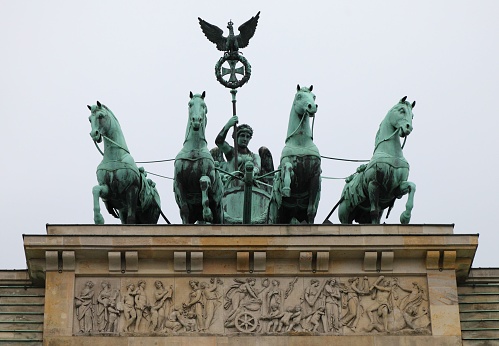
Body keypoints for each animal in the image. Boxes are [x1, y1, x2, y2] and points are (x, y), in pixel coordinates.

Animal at [175, 91, 224, 224]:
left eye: (204, 105)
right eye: (190, 104)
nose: (196, 120)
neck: (194, 149)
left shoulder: (209, 176)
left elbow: (203, 182)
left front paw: (207, 213)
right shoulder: (179, 183)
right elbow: (184, 210)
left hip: (218, 209)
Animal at [272, 85, 322, 223]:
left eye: (314, 96)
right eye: (299, 96)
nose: (312, 106)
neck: (300, 142)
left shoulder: (315, 175)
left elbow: (311, 211)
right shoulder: (289, 169)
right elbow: (288, 168)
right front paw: (286, 188)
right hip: (278, 211)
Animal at [340, 96, 418, 224]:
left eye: (412, 116)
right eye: (401, 110)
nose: (409, 128)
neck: (391, 154)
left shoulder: (396, 188)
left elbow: (412, 186)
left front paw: (406, 217)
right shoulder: (373, 184)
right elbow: (374, 212)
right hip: (345, 213)